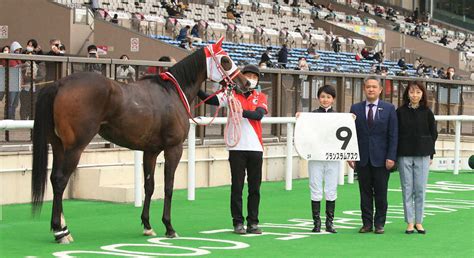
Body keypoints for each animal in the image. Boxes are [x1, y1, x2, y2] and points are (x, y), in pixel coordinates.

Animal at [30, 37, 248, 243]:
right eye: (226, 60)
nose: (245, 84)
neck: (172, 92)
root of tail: (60, 84)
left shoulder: (150, 151)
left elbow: (149, 186)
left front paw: (147, 225)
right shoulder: (174, 148)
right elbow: (168, 186)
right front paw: (169, 227)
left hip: (58, 146)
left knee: (54, 179)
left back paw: (61, 228)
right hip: (75, 148)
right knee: (60, 181)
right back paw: (61, 232)